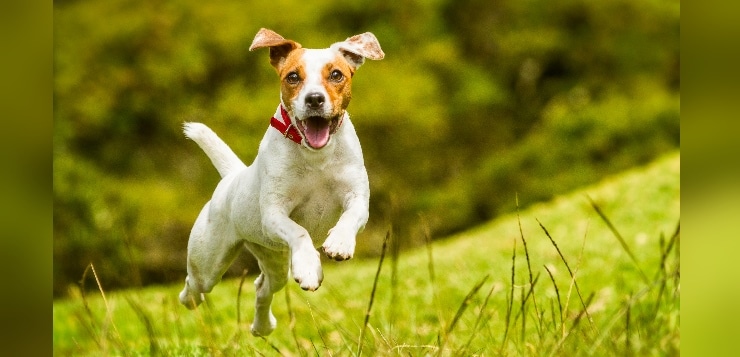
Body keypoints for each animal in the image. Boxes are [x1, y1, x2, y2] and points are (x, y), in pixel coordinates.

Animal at [178, 28, 382, 336]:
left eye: (336, 74)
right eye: (293, 77)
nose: (314, 99)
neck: (315, 156)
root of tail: (232, 177)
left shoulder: (357, 197)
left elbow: (351, 216)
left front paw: (339, 243)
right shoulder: (274, 214)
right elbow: (300, 232)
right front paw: (309, 266)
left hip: (273, 258)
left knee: (262, 287)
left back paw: (262, 326)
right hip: (209, 261)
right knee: (195, 285)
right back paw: (190, 300)